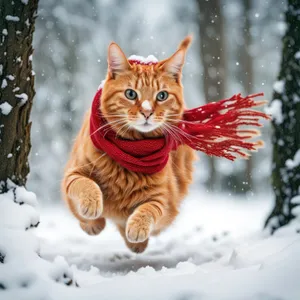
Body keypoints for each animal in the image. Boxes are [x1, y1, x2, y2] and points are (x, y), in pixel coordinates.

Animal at [62, 37, 196, 253]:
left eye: (162, 96)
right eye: (131, 94)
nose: (147, 112)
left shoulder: (163, 199)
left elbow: (148, 209)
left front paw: (137, 229)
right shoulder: (73, 174)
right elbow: (87, 185)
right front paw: (92, 211)